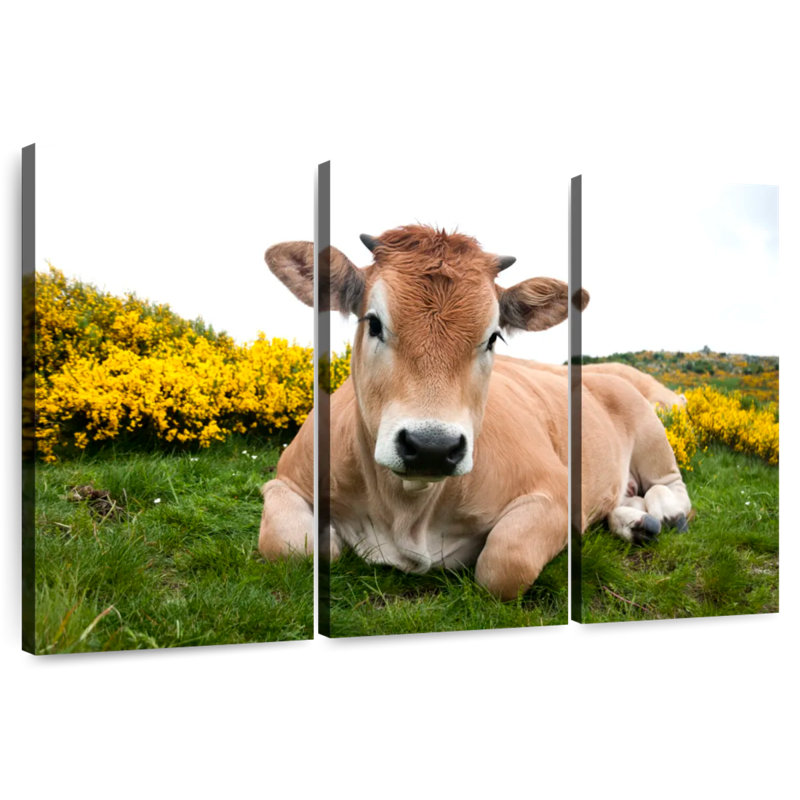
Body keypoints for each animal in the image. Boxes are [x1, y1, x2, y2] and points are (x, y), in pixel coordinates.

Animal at [258, 225, 691, 600]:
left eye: (493, 337)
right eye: (374, 323)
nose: (431, 447)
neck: (406, 512)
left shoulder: (556, 493)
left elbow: (504, 563)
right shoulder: (286, 479)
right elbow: (288, 545)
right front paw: (327, 538)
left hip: (652, 436)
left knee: (671, 487)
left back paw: (665, 515)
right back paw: (636, 522)